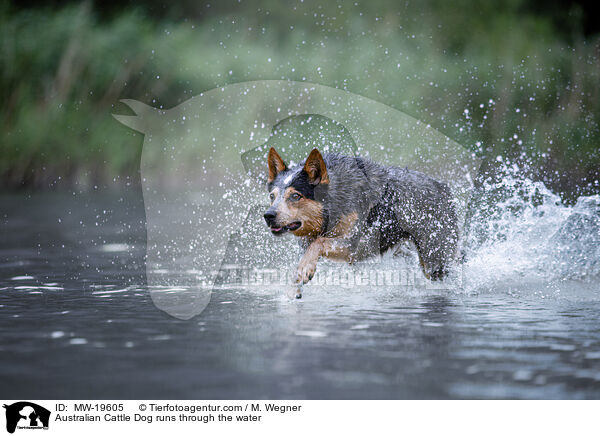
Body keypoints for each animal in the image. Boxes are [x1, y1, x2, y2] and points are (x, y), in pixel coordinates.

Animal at [264, 148, 460, 298]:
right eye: (272, 196)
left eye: (295, 196)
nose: (268, 215)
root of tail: (445, 189)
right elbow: (306, 257)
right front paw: (294, 288)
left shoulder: (356, 246)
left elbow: (319, 244)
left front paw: (305, 270)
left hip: (435, 260)